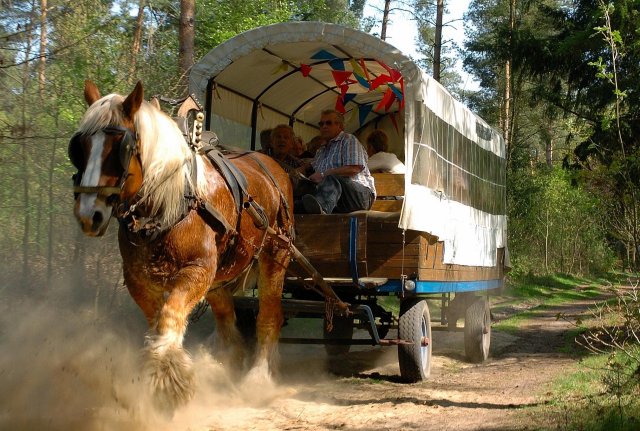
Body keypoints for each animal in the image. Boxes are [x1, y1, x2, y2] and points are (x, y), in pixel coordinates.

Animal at [68, 80, 296, 412]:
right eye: (79, 148)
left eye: (119, 148)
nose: (89, 214)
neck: (170, 202)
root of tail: (271, 165)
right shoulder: (138, 279)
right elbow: (158, 320)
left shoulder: (196, 270)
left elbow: (170, 315)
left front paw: (167, 381)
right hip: (220, 277)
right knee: (226, 319)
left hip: (274, 257)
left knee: (268, 316)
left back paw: (258, 377)